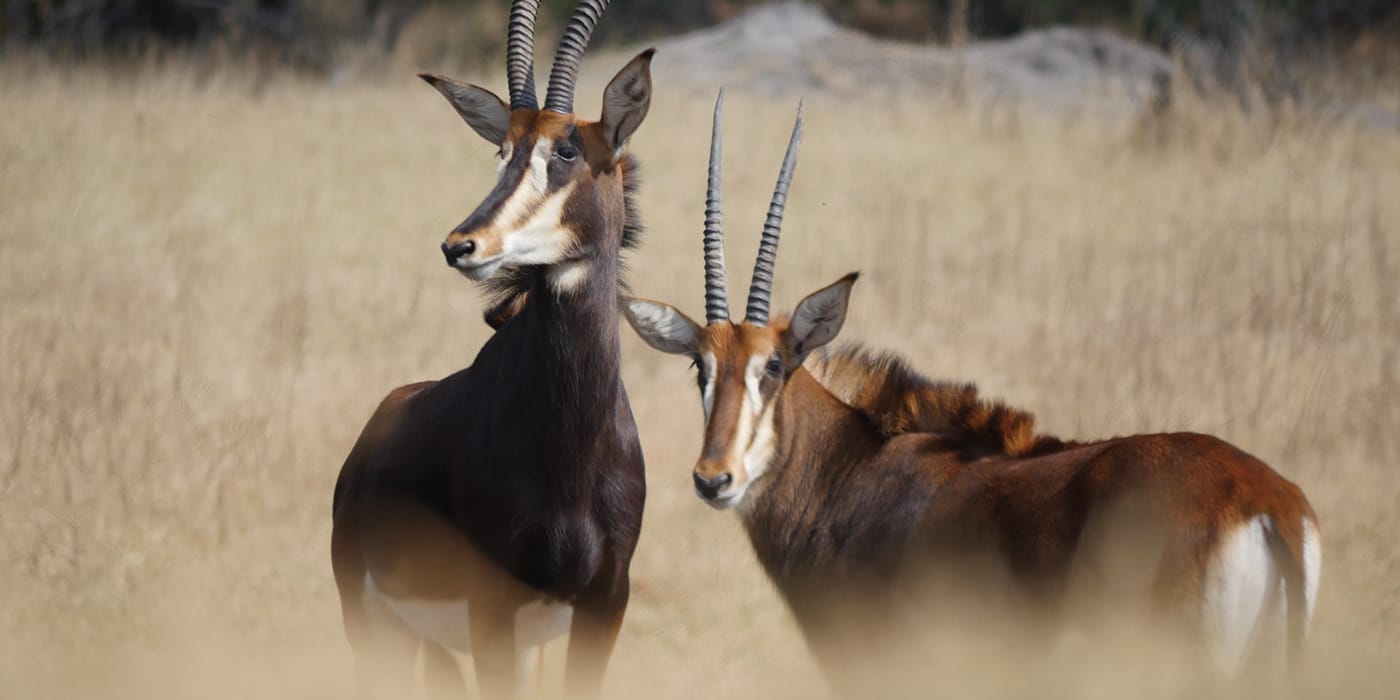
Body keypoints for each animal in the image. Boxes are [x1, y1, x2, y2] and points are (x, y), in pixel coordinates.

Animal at [330, 1, 652, 697]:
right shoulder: (493, 606)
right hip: (376, 625)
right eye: (502, 149)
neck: (572, 445)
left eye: (567, 149)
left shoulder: (606, 602)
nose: (461, 245)